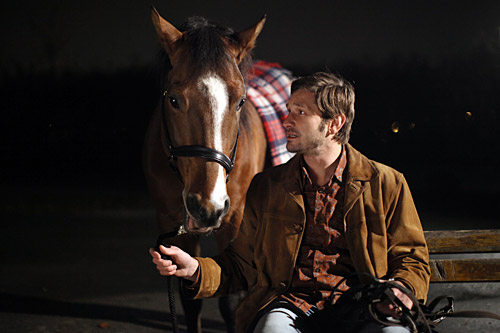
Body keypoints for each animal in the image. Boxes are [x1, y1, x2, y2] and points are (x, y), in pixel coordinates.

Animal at [144, 7, 270, 332]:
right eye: (174, 99)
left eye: (240, 101)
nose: (207, 207)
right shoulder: (171, 222)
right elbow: (190, 297)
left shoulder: (235, 219)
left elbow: (233, 300)